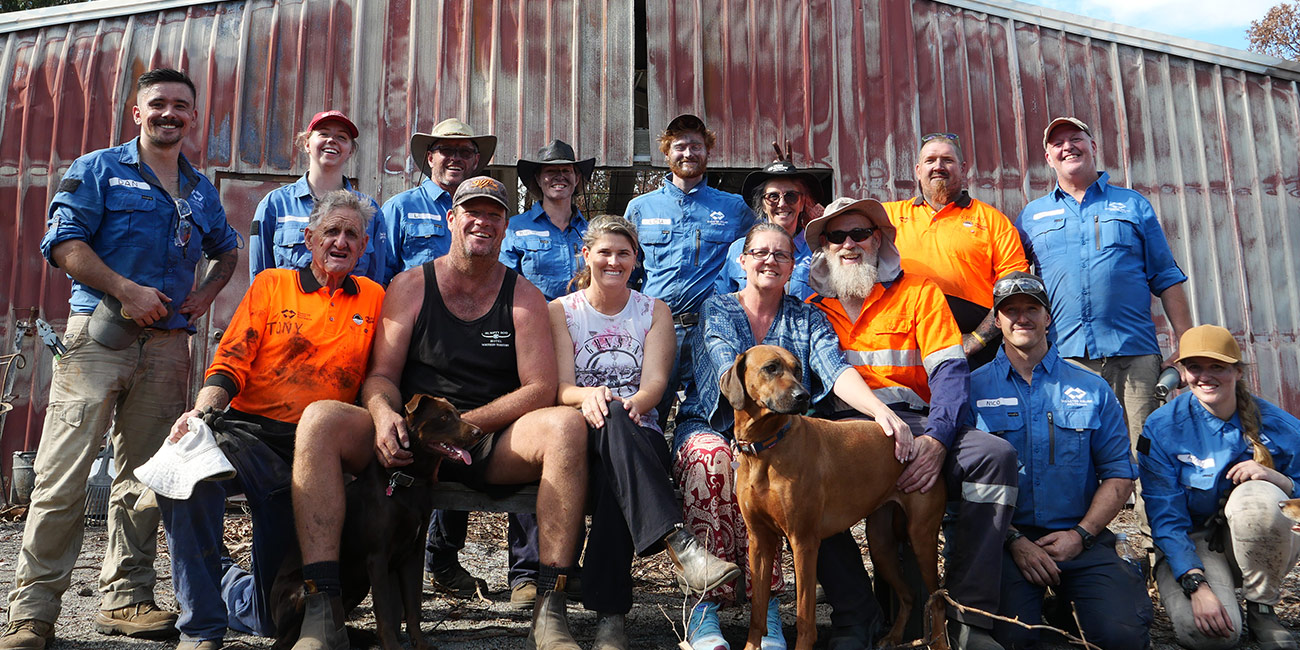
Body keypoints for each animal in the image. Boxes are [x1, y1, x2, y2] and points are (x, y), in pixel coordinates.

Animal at [271, 392, 486, 650]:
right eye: (444, 417)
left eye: (457, 414)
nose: (478, 432)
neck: (408, 481)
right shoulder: (378, 557)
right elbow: (383, 612)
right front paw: (392, 645)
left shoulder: (413, 555)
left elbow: (413, 607)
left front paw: (420, 643)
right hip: (306, 592)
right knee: (283, 640)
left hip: (358, 585)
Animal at [717, 343, 951, 647]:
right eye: (771, 368)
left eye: (797, 369)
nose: (802, 396)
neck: (765, 448)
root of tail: (921, 440)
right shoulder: (759, 541)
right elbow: (757, 611)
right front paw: (751, 646)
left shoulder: (804, 542)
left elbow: (805, 617)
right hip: (880, 545)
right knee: (909, 593)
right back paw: (893, 636)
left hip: (921, 534)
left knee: (937, 599)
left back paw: (939, 642)